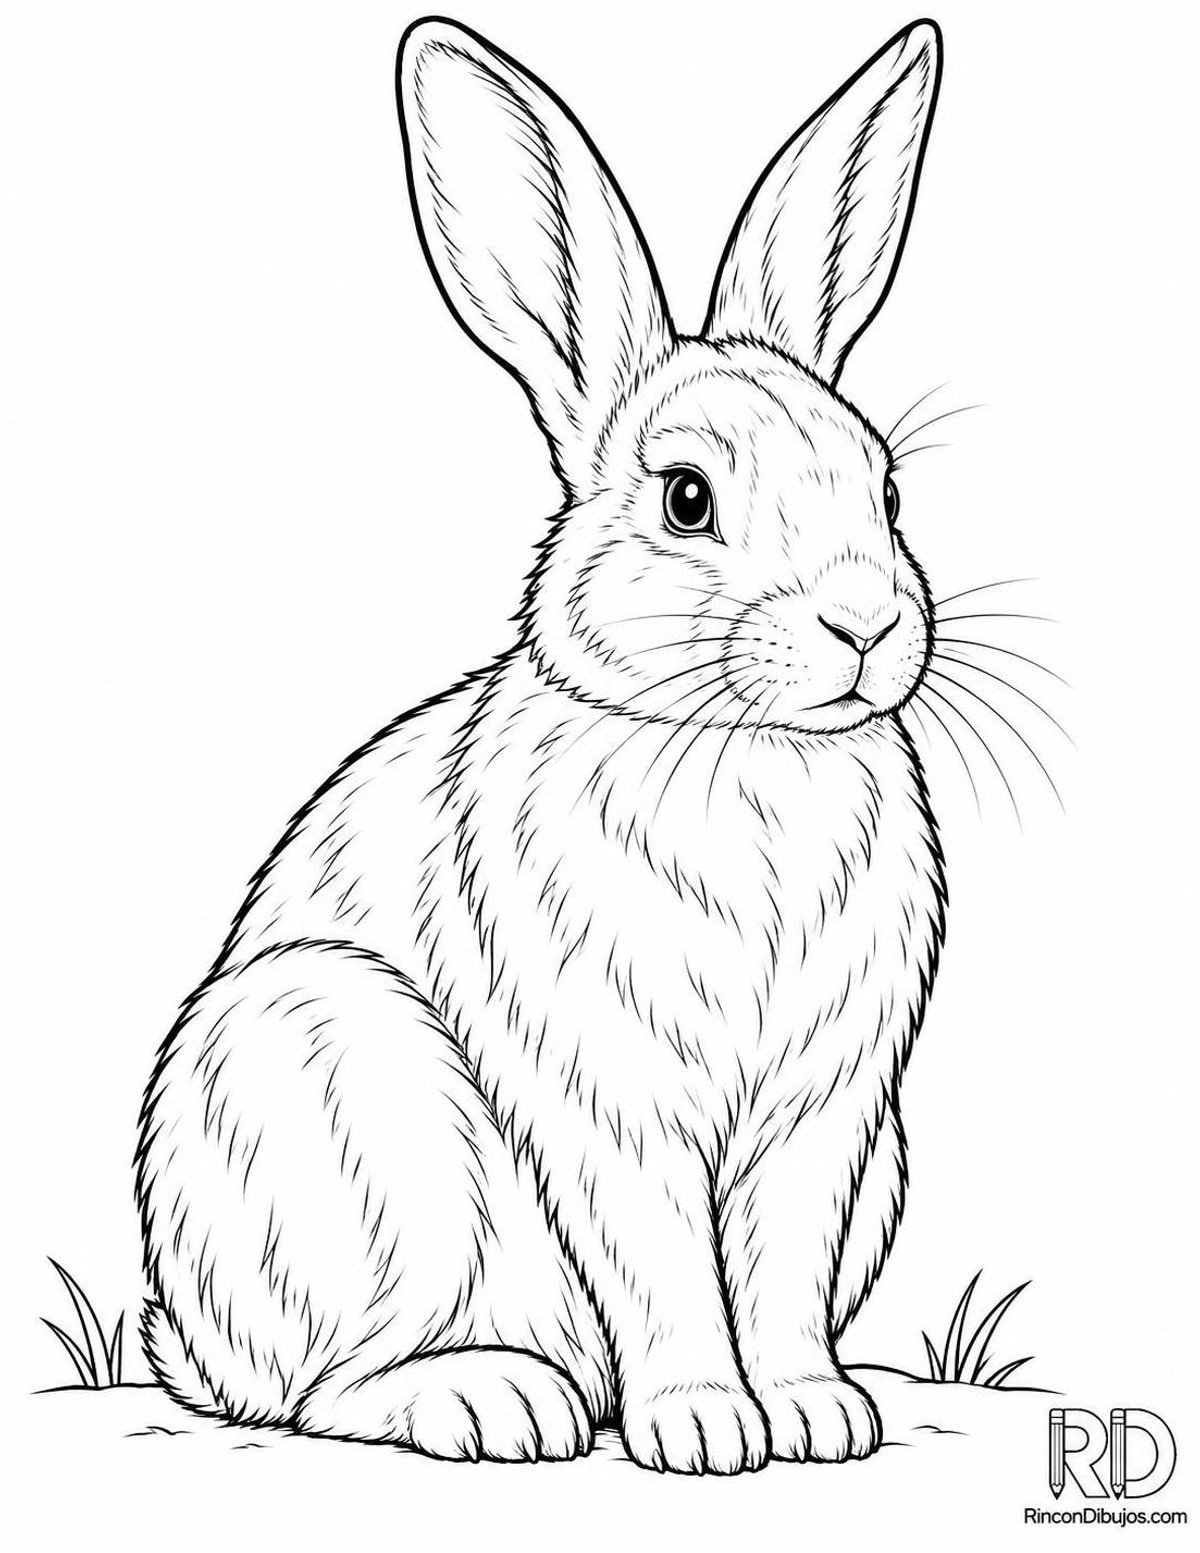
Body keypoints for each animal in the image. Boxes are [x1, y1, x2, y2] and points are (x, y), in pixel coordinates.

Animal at [135, 15, 947, 1475]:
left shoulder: (830, 1114)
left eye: (887, 487)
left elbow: (781, 1272)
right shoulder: (609, 1102)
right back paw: (495, 1400)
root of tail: (186, 1331)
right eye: (686, 498)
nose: (866, 624)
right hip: (338, 1084)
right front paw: (706, 1428)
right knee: (324, 1387)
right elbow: (664, 1266)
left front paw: (813, 1412)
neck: (739, 742)